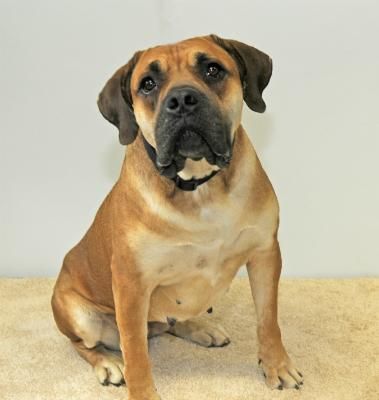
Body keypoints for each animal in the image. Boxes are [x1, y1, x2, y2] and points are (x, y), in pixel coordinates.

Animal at [52, 34, 304, 400]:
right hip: (79, 315)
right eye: (148, 84)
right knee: (85, 344)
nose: (182, 100)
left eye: (213, 69)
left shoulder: (265, 254)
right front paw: (142, 392)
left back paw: (200, 327)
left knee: (169, 321)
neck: (199, 186)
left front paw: (277, 365)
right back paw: (108, 363)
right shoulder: (131, 285)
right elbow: (136, 354)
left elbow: (268, 320)